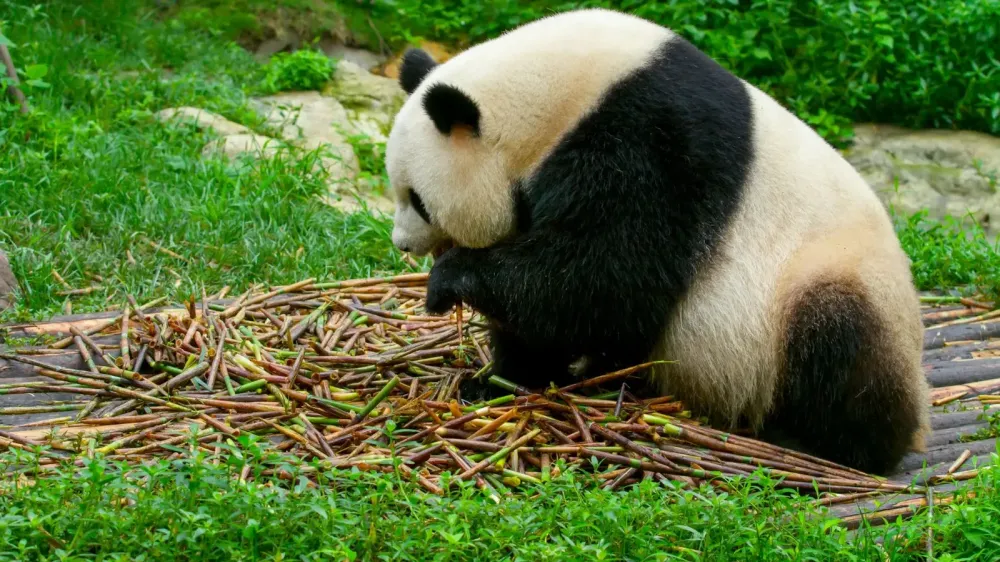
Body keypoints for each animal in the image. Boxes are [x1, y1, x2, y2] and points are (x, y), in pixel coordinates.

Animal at [383, 8, 930, 475]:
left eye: (418, 200)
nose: (402, 244)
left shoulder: (652, 142)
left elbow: (605, 279)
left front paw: (450, 280)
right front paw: (496, 380)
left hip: (830, 281)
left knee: (838, 344)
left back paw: (821, 442)